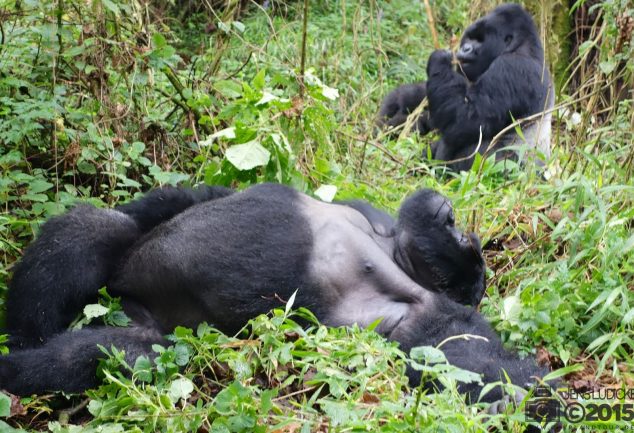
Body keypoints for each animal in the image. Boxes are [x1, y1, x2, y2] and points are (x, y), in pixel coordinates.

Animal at [0, 183, 544, 402]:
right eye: (455, 227)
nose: (454, 220)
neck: (390, 246)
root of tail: (130, 301)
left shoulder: (428, 313)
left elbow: (464, 359)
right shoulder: (364, 207)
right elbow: (187, 200)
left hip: (169, 337)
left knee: (110, 356)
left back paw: (17, 368)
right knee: (99, 229)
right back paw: (24, 334)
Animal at [378, 4, 552, 172]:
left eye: (480, 40)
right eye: (470, 37)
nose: (465, 48)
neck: (521, 45)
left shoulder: (511, 68)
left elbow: (464, 120)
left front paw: (439, 60)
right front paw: (402, 98)